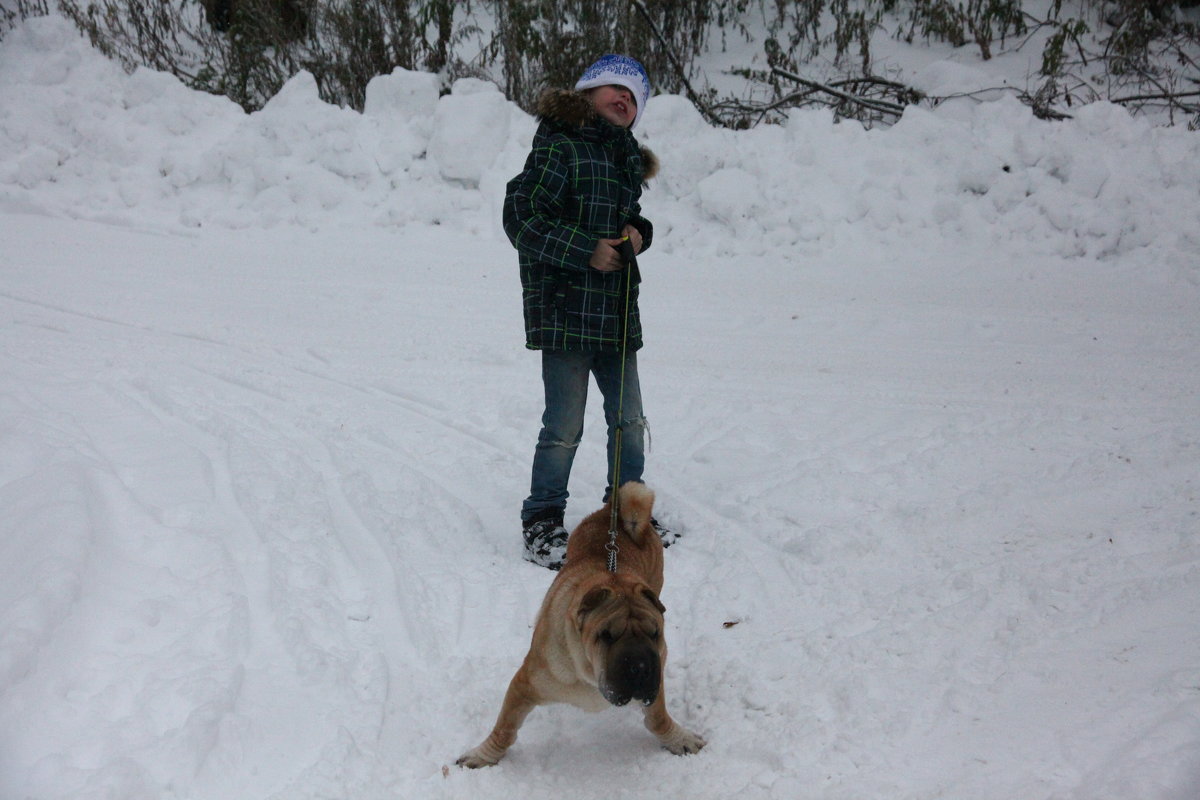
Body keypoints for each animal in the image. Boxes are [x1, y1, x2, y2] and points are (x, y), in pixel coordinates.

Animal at [456, 482, 700, 767]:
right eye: (606, 635)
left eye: (655, 633)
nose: (639, 666)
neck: (590, 672)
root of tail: (612, 511)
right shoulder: (525, 683)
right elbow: (504, 729)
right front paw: (482, 756)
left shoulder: (658, 670)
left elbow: (657, 717)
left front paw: (678, 738)